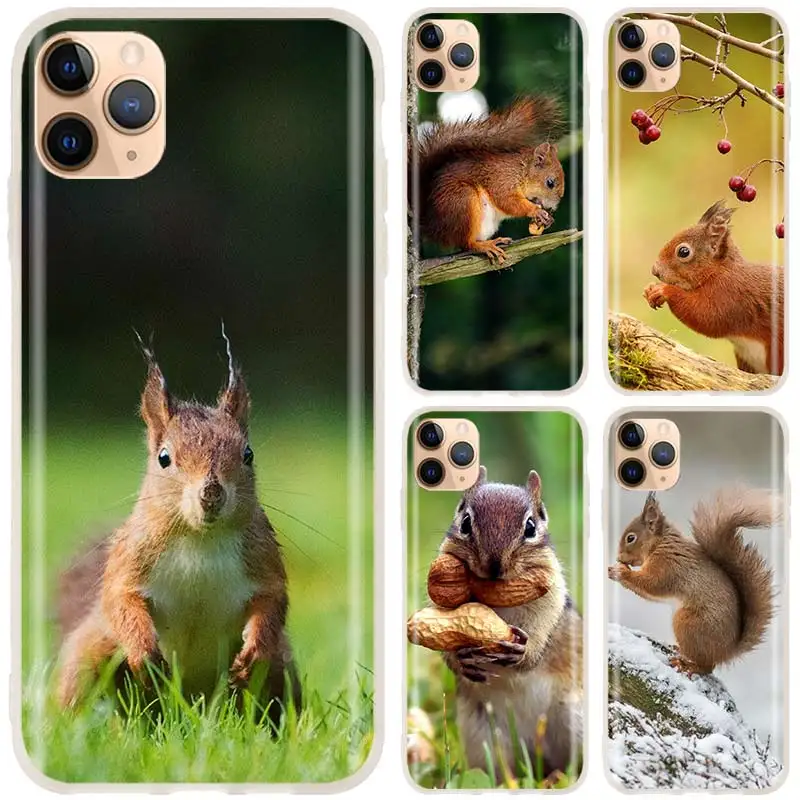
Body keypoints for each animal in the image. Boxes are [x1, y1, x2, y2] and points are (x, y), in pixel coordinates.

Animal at [55, 334, 301, 724]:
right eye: (164, 458)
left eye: (248, 455)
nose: (211, 494)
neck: (199, 538)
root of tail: (188, 705)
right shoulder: (130, 558)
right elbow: (120, 598)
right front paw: (144, 652)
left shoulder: (263, 559)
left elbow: (273, 600)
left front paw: (254, 650)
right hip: (89, 653)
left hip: (282, 667)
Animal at [412, 96, 565, 264]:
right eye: (550, 183)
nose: (551, 208)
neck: (521, 171)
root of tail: (433, 227)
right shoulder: (501, 180)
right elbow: (507, 200)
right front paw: (536, 211)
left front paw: (548, 219)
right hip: (463, 200)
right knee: (466, 244)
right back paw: (484, 246)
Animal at [439, 467, 582, 777]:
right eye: (465, 522)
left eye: (530, 527)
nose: (494, 567)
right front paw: (460, 659)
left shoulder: (551, 599)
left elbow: (541, 631)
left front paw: (523, 652)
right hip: (483, 736)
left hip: (575, 719)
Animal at [608, 490, 776, 675]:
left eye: (630, 538)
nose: (618, 558)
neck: (660, 544)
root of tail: (727, 652)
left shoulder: (668, 567)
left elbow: (652, 585)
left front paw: (620, 572)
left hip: (687, 624)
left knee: (707, 667)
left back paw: (688, 665)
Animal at [643, 200, 784, 375]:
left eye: (683, 252)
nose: (654, 270)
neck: (718, 271)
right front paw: (649, 289)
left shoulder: (732, 295)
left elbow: (708, 316)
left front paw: (664, 290)